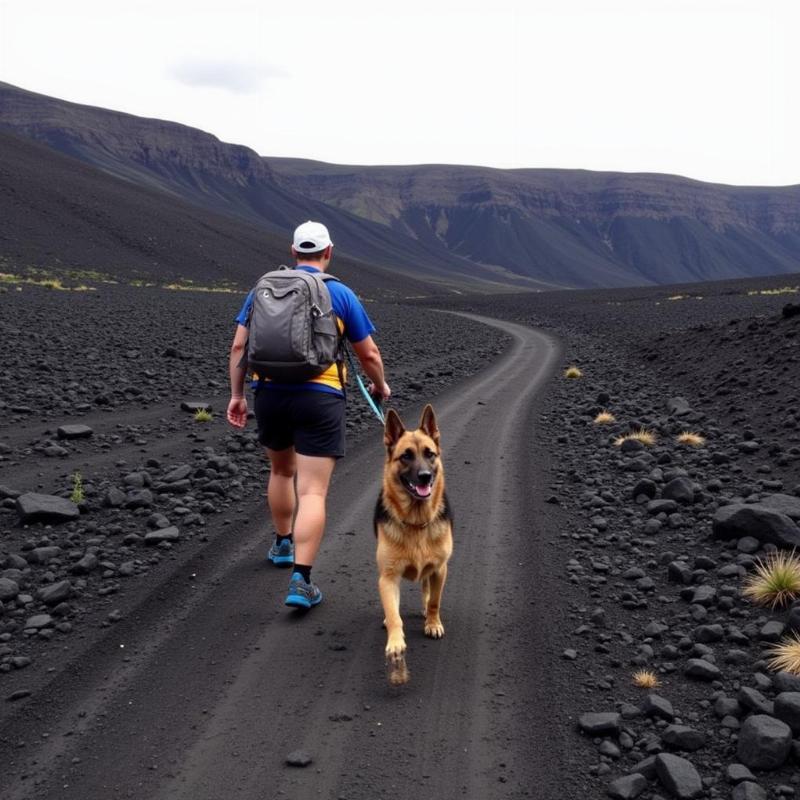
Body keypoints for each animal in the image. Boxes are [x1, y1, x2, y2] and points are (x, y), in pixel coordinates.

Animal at [374, 404, 454, 684]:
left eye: (430, 454)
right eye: (405, 457)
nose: (425, 477)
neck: (416, 521)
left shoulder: (440, 569)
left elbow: (434, 601)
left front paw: (433, 623)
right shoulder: (388, 577)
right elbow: (394, 615)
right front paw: (395, 643)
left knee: (426, 590)